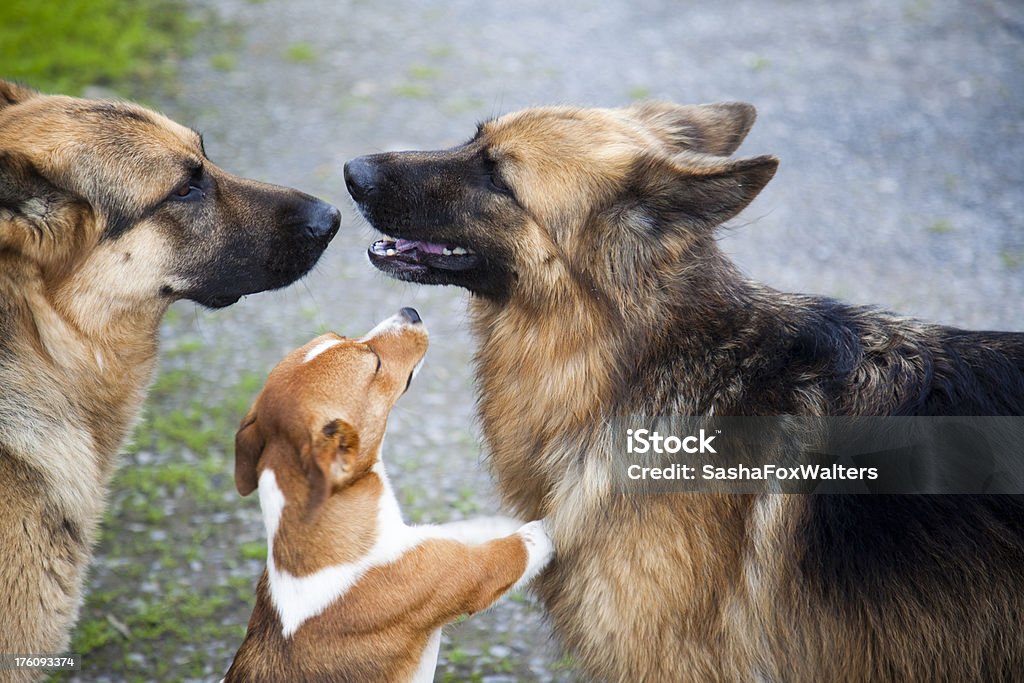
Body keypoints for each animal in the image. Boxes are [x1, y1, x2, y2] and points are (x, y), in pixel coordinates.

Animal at [224, 309, 552, 683]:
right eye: (376, 363)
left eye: (340, 336)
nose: (410, 311)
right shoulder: (473, 574)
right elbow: (522, 545)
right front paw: (556, 523)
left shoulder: (426, 541)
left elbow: (464, 530)